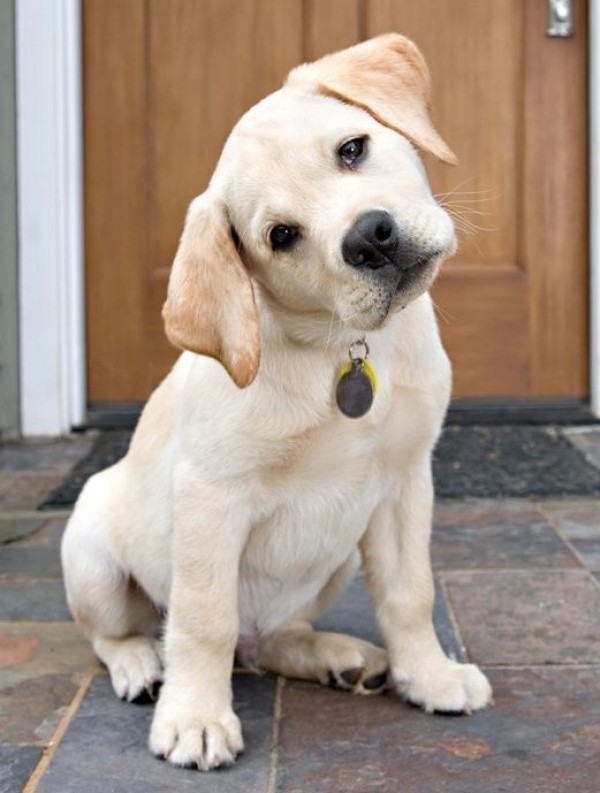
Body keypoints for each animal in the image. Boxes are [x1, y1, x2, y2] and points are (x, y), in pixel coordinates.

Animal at [62, 34, 492, 772]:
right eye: (282, 236)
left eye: (352, 148)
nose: (371, 236)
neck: (343, 348)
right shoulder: (211, 498)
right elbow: (203, 620)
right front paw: (196, 718)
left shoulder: (405, 483)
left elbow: (410, 592)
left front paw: (430, 676)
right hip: (90, 549)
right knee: (124, 633)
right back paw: (142, 665)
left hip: (335, 558)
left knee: (273, 638)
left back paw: (337, 655)